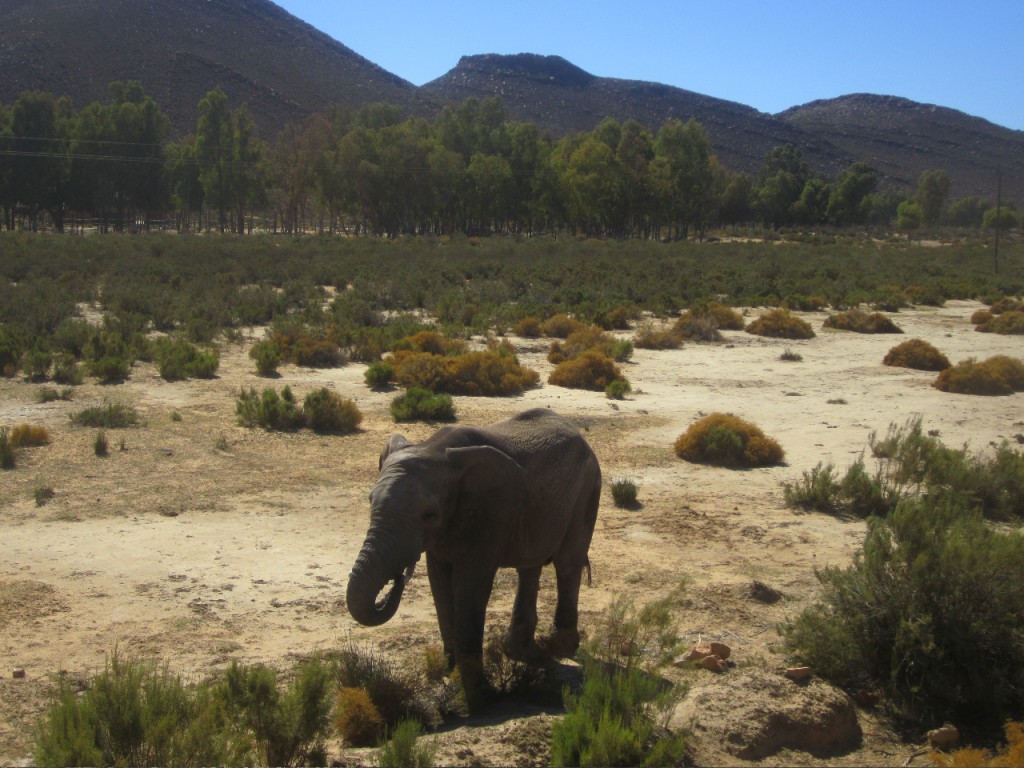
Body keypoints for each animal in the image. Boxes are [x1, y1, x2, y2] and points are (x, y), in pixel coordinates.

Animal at [346, 408, 601, 710]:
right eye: (370, 501)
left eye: (429, 515)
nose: (398, 576)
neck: (435, 448)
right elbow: (439, 582)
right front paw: (451, 672)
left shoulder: (490, 510)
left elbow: (471, 585)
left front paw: (480, 698)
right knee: (530, 566)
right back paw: (523, 651)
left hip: (587, 489)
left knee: (567, 562)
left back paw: (556, 647)